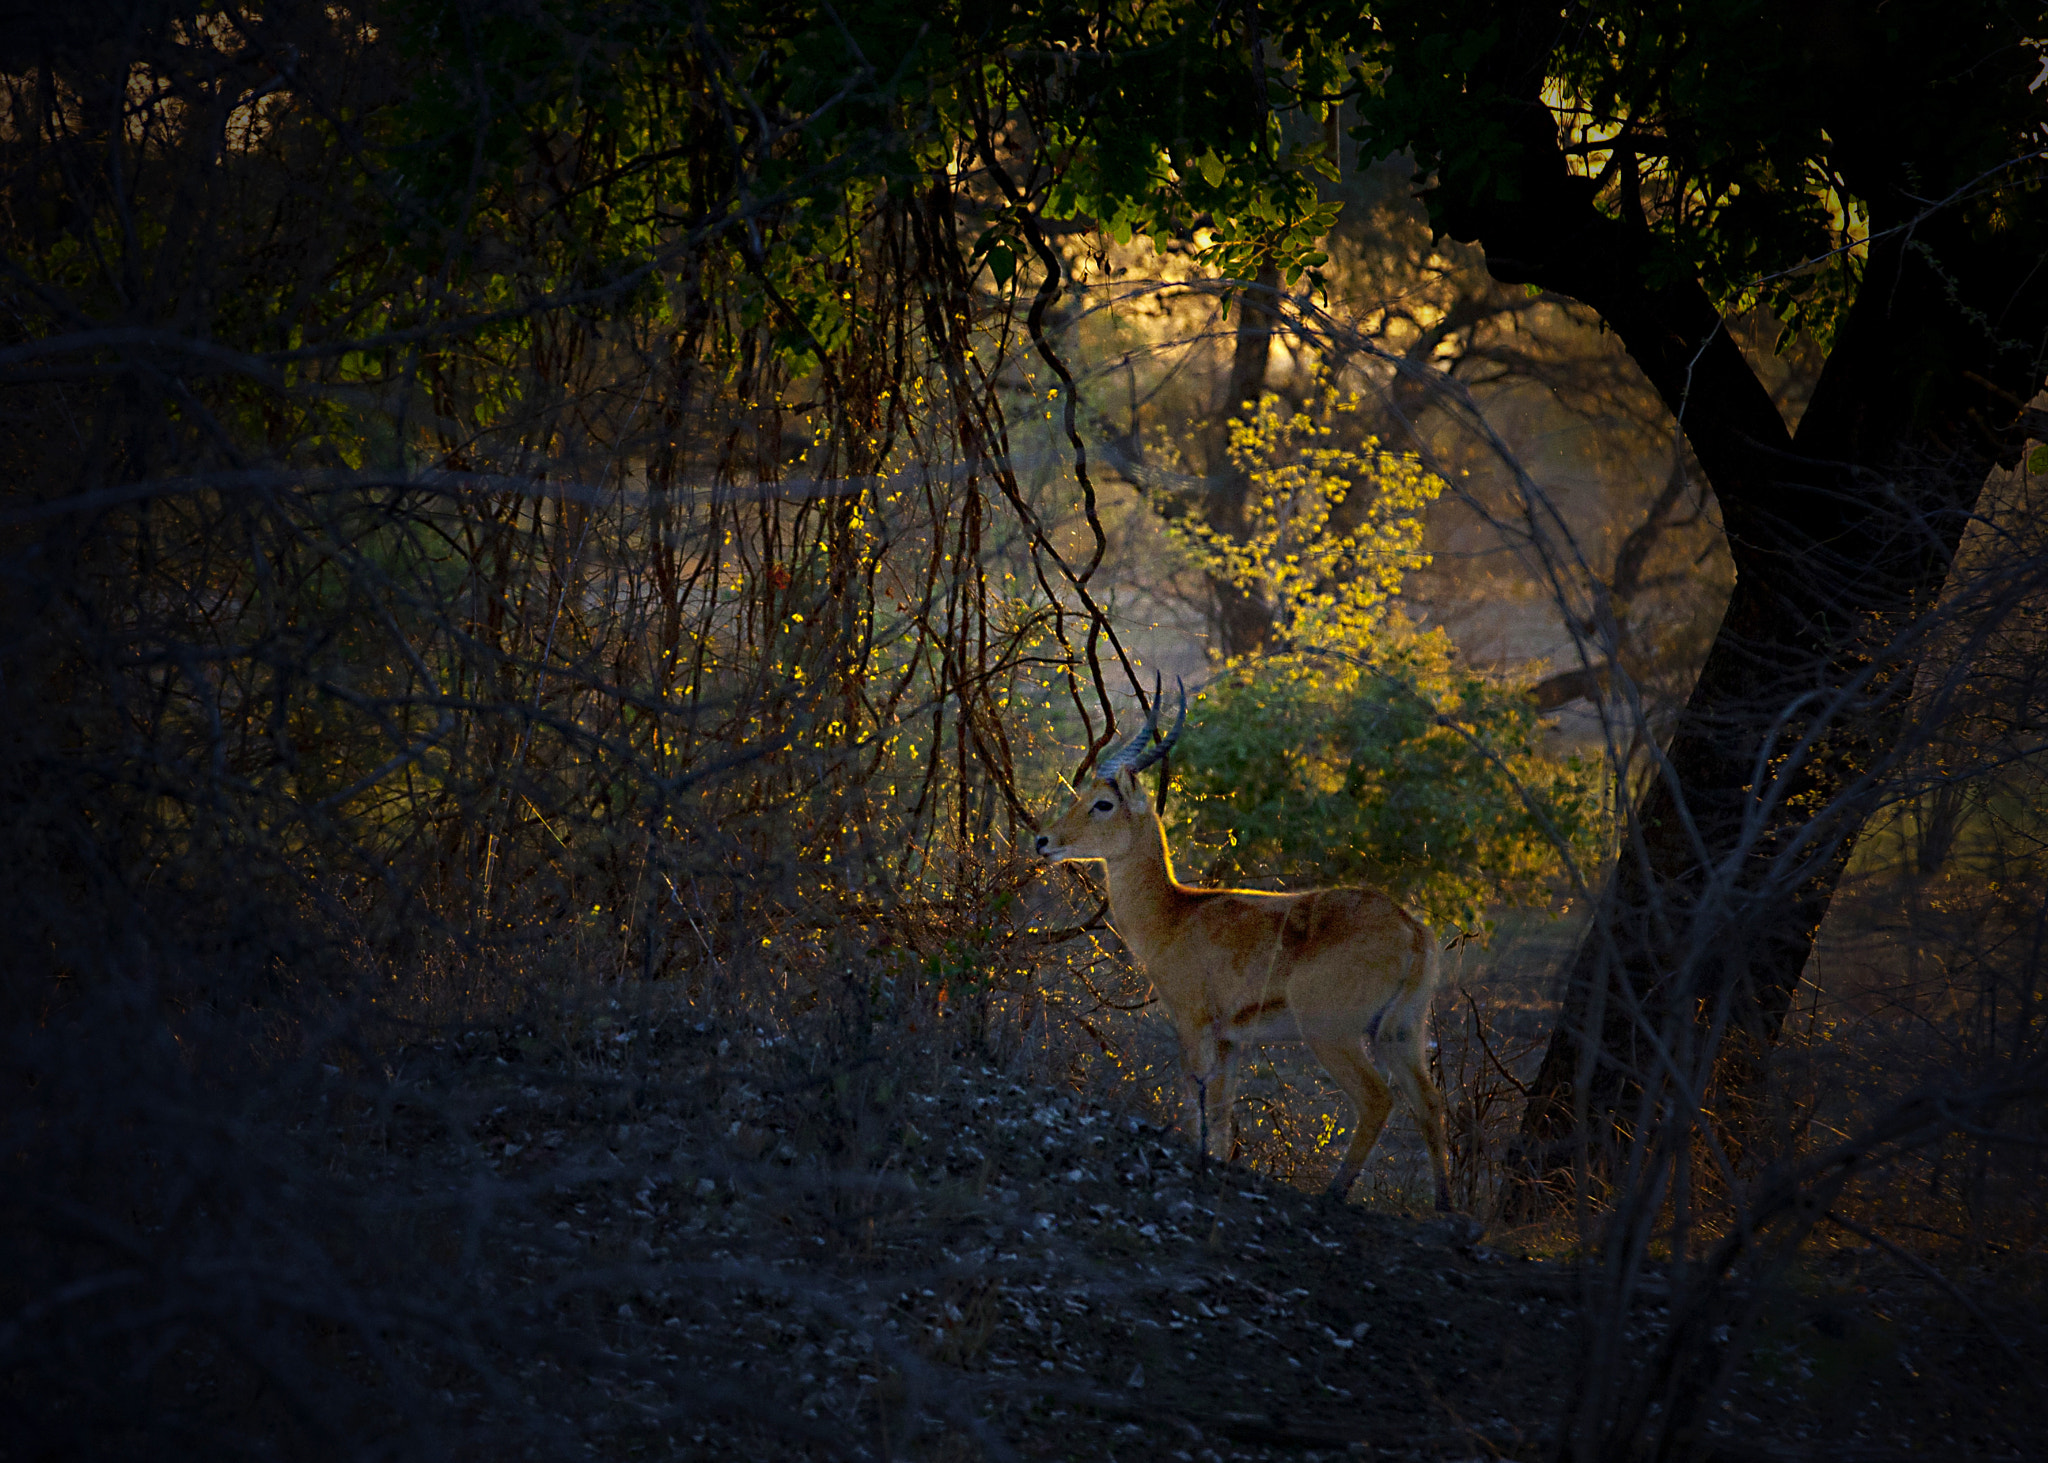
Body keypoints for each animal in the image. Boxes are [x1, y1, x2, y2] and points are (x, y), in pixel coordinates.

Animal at [1035, 681, 1452, 1210]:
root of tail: (1410, 927)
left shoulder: (1193, 1022)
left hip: (1333, 1034)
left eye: (1103, 804)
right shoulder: (1231, 1038)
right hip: (1400, 1033)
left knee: (1379, 1100)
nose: (1044, 841)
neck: (1176, 913)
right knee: (1430, 1102)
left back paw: (1334, 1193)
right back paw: (1446, 1208)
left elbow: (1196, 1097)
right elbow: (1221, 1109)